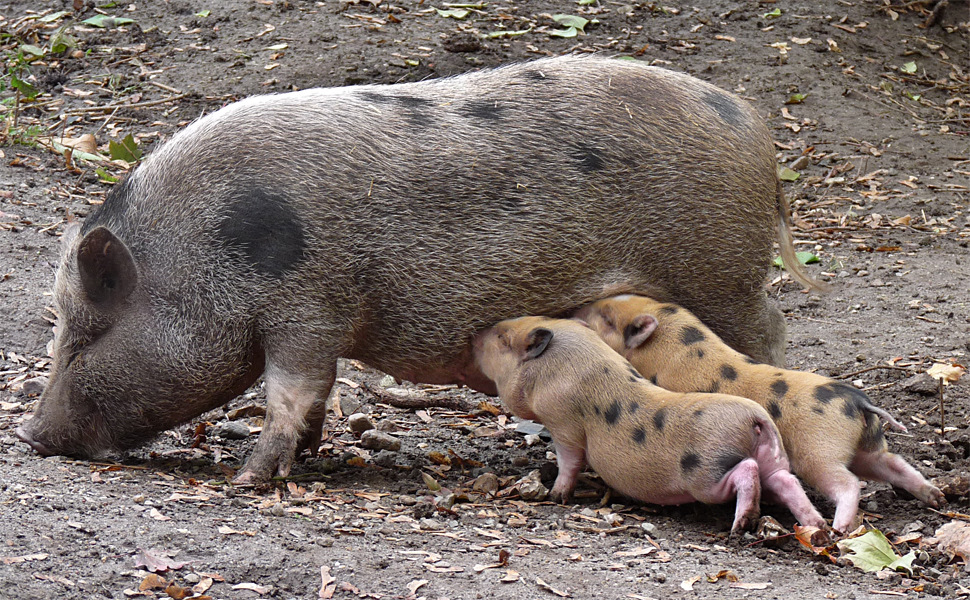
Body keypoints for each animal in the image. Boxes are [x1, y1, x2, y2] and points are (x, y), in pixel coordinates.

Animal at [18, 51, 812, 482]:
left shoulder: (309, 303)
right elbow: (316, 393)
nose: (27, 435)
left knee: (770, 332)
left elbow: (289, 389)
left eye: (85, 336)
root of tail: (754, 127)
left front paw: (250, 478)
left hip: (721, 274)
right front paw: (307, 455)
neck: (207, 246)